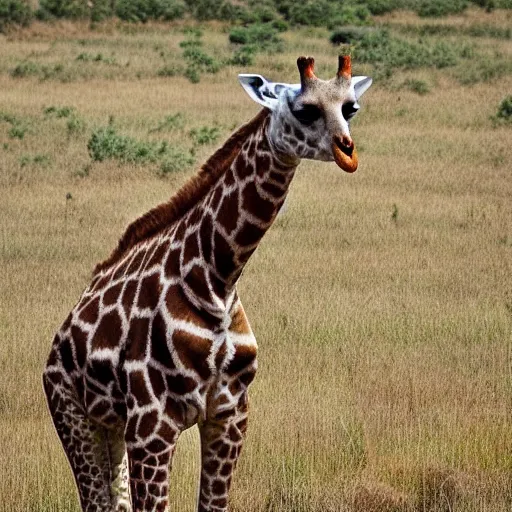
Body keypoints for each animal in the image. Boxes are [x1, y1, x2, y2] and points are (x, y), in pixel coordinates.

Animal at [43, 56, 372, 512]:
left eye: (350, 107)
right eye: (305, 109)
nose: (348, 152)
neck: (217, 279)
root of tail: (59, 336)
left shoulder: (230, 414)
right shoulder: (151, 427)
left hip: (111, 426)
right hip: (71, 412)